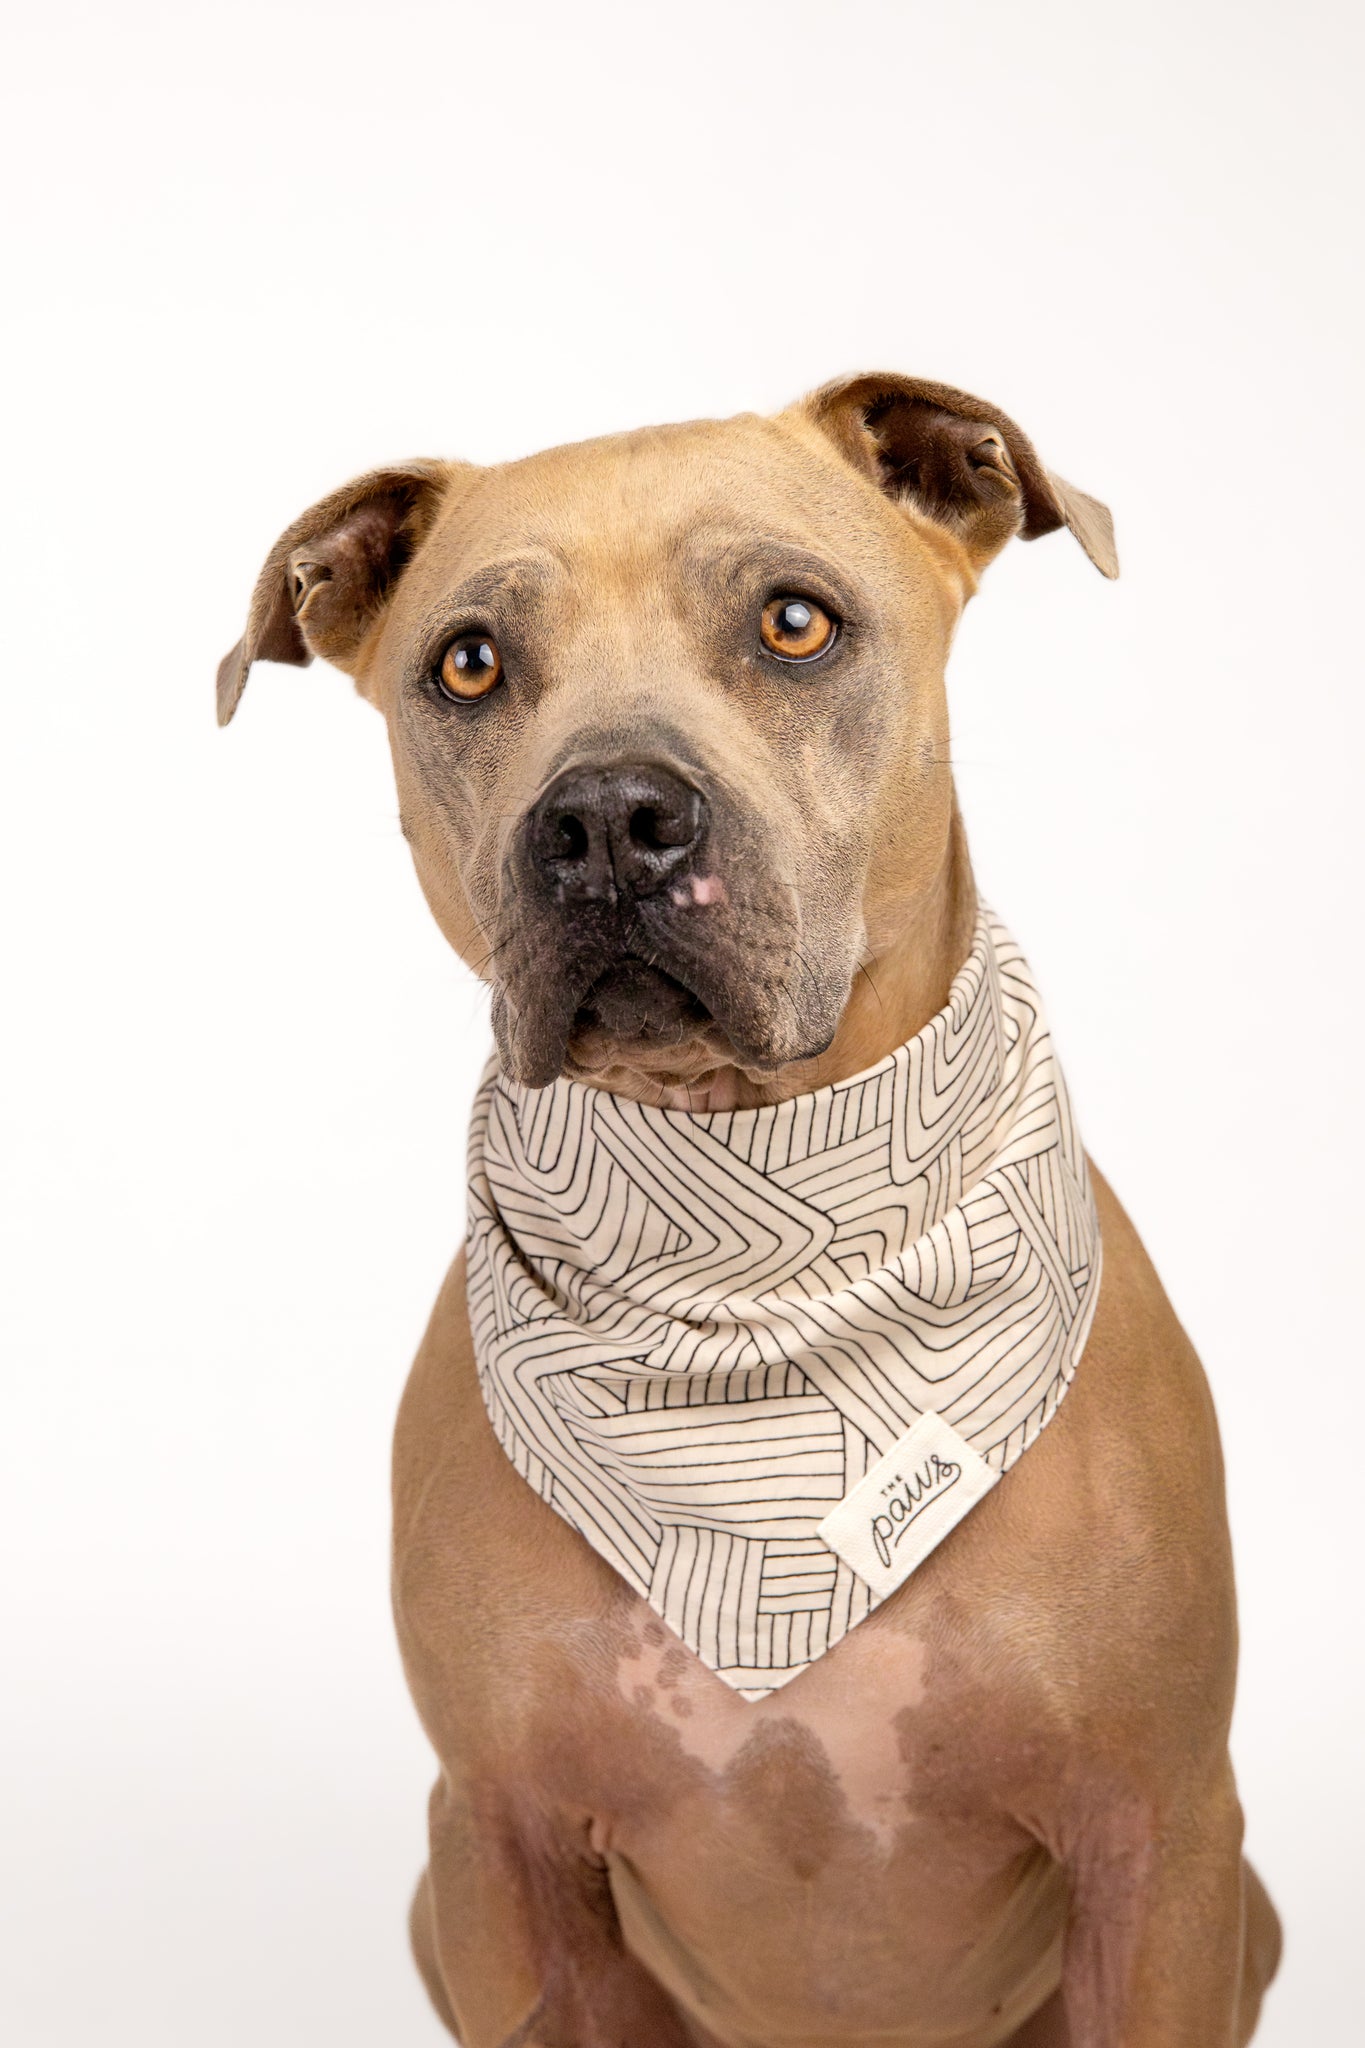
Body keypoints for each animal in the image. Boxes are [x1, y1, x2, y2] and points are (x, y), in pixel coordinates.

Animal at [222, 376, 1285, 2039]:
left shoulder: (1159, 1837)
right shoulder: (503, 1852)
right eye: (468, 662)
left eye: (794, 623)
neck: (759, 1279)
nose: (605, 818)